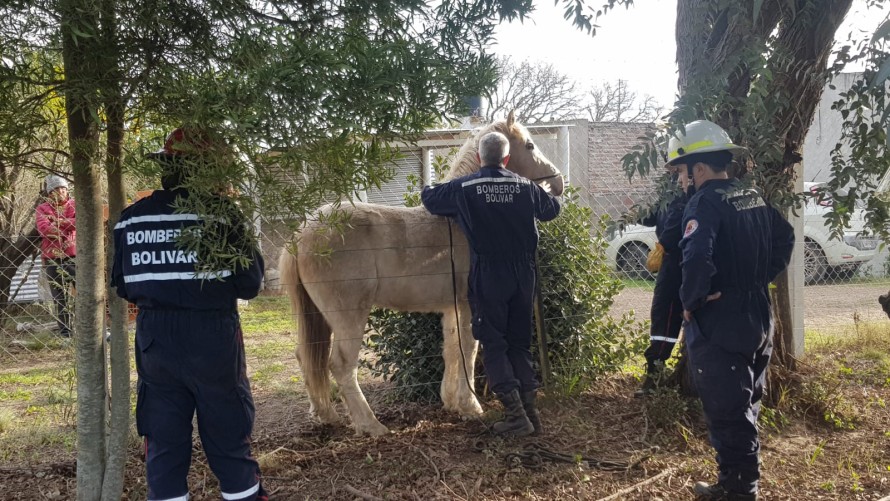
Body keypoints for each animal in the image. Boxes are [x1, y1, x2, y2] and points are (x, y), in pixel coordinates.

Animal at [280, 111, 564, 436]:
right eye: (529, 145)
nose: (557, 183)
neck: (456, 220)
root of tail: (304, 231)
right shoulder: (469, 307)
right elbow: (469, 349)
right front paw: (471, 406)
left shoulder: (452, 308)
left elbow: (451, 350)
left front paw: (451, 402)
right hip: (349, 316)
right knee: (341, 365)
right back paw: (371, 424)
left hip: (318, 316)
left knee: (308, 358)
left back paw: (326, 414)